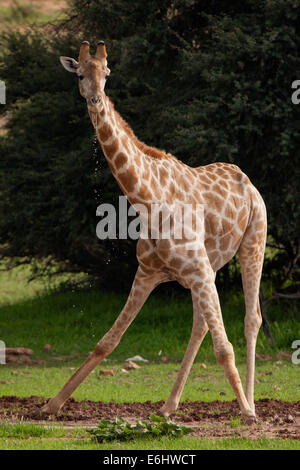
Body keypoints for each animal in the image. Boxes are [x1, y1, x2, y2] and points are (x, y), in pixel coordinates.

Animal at [40, 41, 268, 422]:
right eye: (80, 74)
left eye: (107, 73)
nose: (95, 99)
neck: (147, 200)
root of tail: (247, 181)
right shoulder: (148, 273)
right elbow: (107, 340)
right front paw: (52, 404)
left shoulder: (198, 270)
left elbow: (224, 348)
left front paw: (249, 414)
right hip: (209, 268)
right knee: (201, 324)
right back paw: (168, 406)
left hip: (254, 241)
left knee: (252, 319)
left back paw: (249, 403)